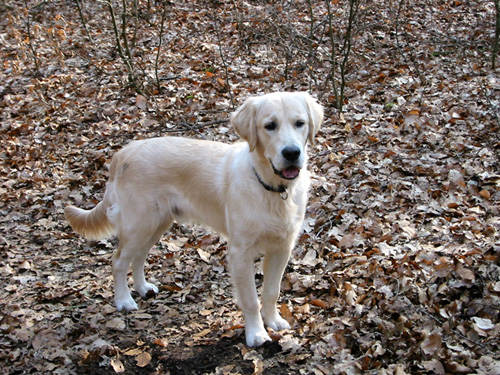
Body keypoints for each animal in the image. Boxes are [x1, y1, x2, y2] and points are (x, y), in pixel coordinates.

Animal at [65, 92, 324, 346]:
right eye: (270, 126)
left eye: (299, 123)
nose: (292, 153)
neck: (272, 189)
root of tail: (123, 152)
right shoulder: (240, 252)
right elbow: (250, 299)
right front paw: (257, 333)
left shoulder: (282, 247)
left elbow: (272, 291)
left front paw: (273, 320)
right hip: (139, 223)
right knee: (118, 260)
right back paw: (124, 300)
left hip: (157, 224)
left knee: (138, 258)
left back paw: (143, 288)